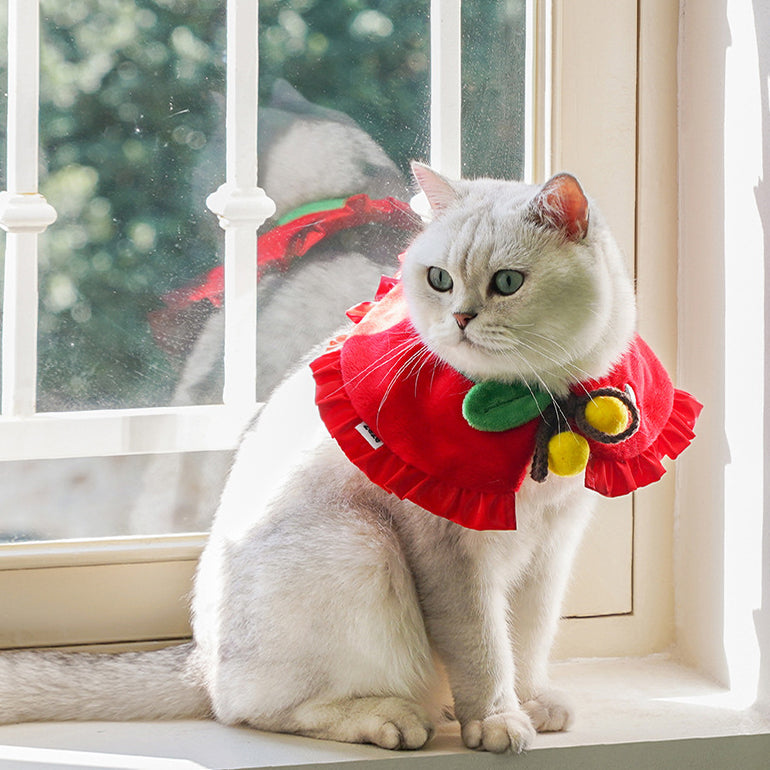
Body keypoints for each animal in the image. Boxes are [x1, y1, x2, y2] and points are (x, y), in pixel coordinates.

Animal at [0, 166, 636, 752]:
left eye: (507, 282)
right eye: (440, 280)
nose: (459, 318)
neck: (535, 406)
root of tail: (199, 660)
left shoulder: (550, 548)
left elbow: (526, 640)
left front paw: (530, 705)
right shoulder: (455, 556)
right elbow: (483, 651)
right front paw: (499, 723)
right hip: (363, 545)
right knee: (255, 709)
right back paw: (394, 721)